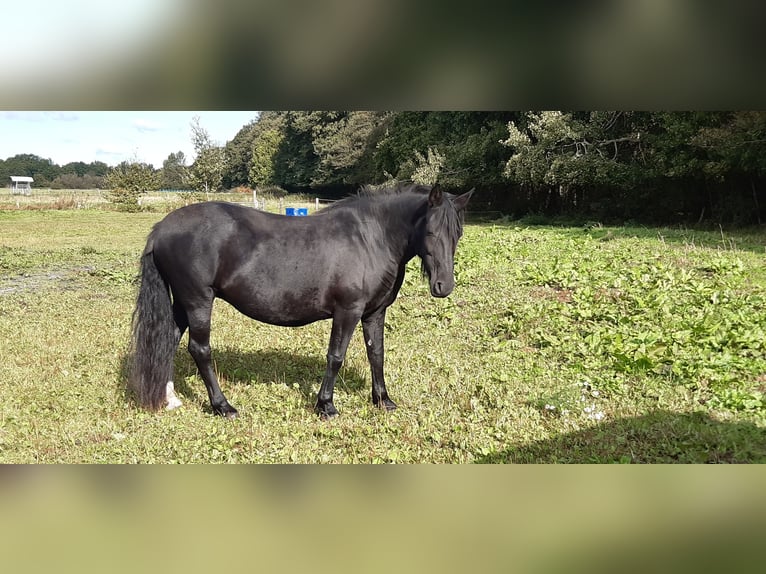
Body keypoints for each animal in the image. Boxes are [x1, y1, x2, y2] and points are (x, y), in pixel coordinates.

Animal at [128, 184, 472, 418]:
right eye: (430, 231)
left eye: (458, 233)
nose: (443, 286)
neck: (371, 238)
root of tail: (161, 228)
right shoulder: (347, 311)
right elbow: (335, 356)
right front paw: (326, 405)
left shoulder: (374, 312)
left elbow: (377, 355)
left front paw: (383, 400)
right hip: (198, 301)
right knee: (199, 350)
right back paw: (223, 406)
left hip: (183, 304)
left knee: (169, 340)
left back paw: (169, 399)